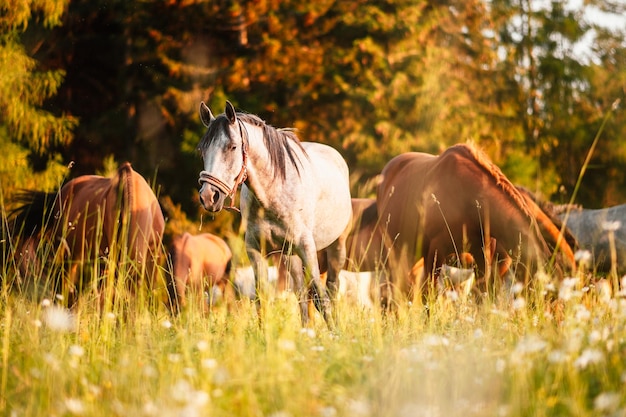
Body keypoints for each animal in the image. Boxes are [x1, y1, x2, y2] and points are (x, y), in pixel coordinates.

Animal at [196, 101, 352, 328]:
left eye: (232, 146)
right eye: (203, 150)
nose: (209, 196)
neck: (273, 193)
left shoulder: (307, 247)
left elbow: (320, 296)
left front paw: (335, 333)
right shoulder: (255, 249)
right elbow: (261, 297)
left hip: (336, 246)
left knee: (331, 288)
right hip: (290, 254)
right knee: (301, 292)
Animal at [372, 141, 572, 304]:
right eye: (550, 296)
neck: (466, 197)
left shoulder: (484, 257)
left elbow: (484, 295)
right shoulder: (435, 253)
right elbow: (432, 297)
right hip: (398, 252)